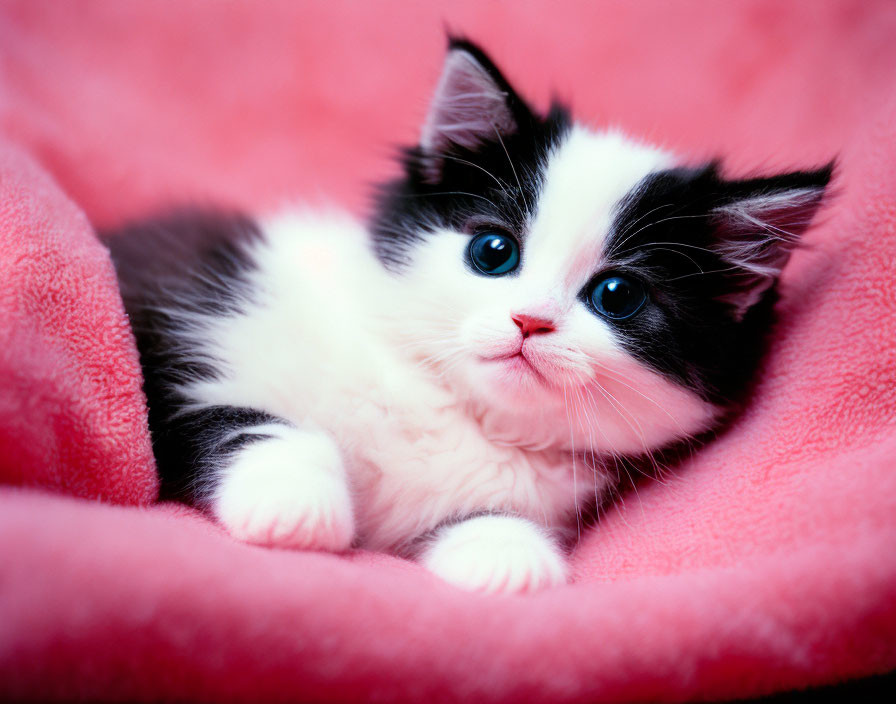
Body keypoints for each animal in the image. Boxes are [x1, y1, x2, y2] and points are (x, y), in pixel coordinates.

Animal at [107, 38, 832, 592]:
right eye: (493, 252)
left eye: (617, 296)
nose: (530, 322)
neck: (453, 407)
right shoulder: (183, 322)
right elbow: (239, 416)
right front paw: (295, 502)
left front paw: (508, 554)